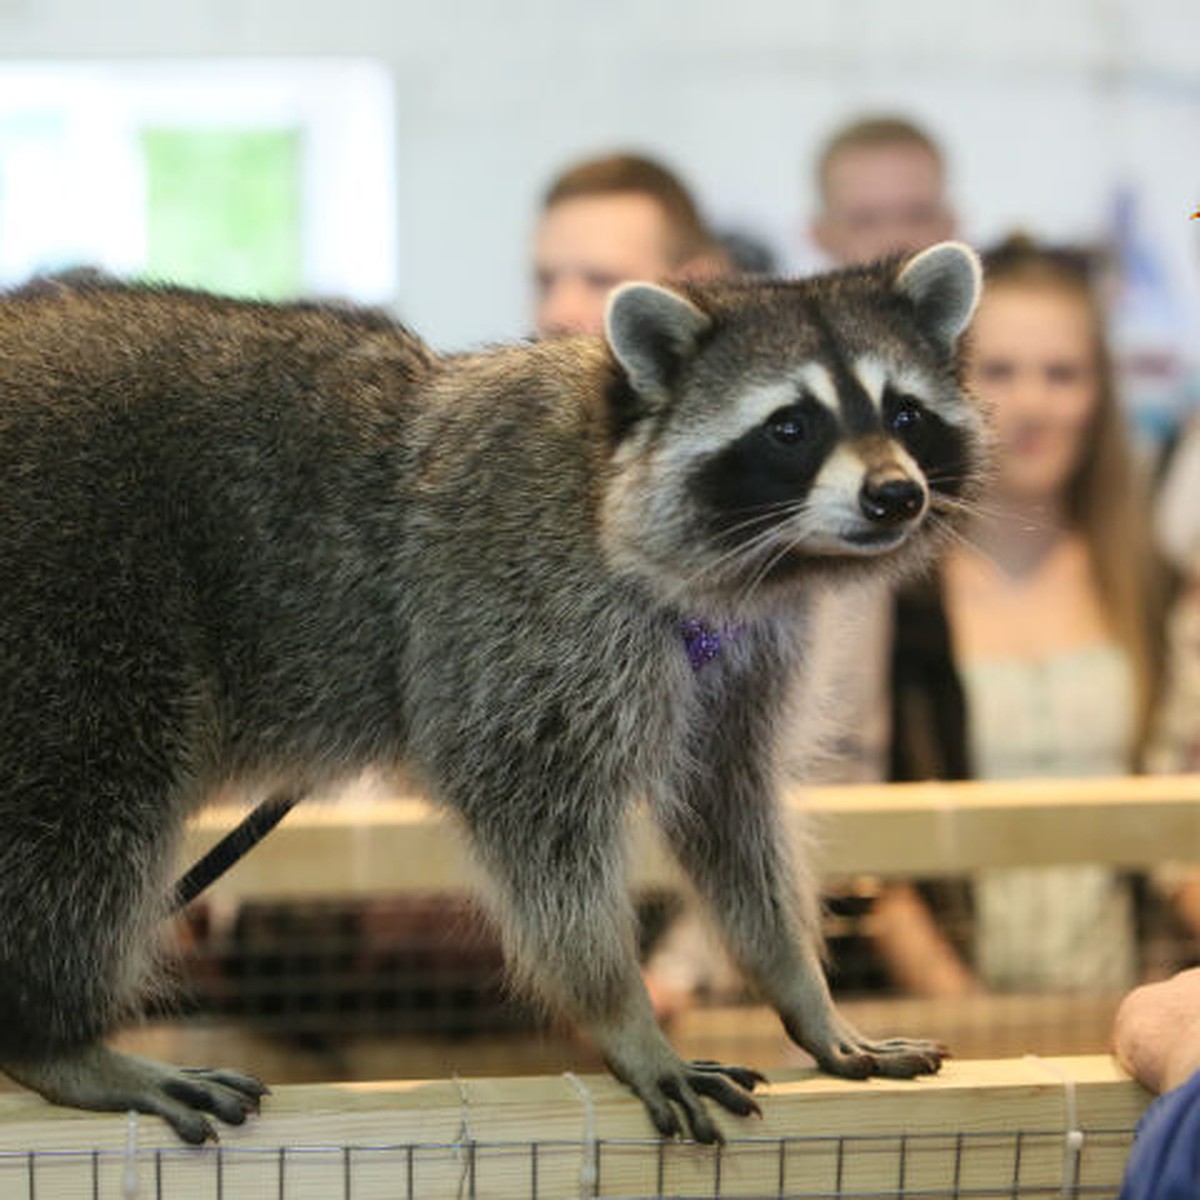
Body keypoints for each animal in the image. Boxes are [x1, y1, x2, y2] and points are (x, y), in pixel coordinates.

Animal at [0, 241, 984, 1142]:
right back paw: (56, 1039)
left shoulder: (747, 653)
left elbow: (727, 808)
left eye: (904, 412)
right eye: (791, 427)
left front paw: (798, 985)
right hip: (74, 598)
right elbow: (536, 822)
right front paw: (622, 1014)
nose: (895, 494)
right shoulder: (522, 618)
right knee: (89, 804)